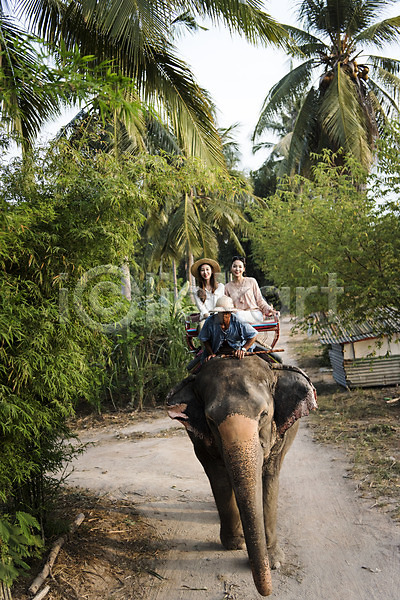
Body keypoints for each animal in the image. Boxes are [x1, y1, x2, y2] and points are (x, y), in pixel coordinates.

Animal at [166, 356, 316, 596]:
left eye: (264, 415)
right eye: (210, 421)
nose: (266, 592)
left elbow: (269, 477)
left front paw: (274, 561)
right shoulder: (199, 439)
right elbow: (218, 476)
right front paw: (236, 544)